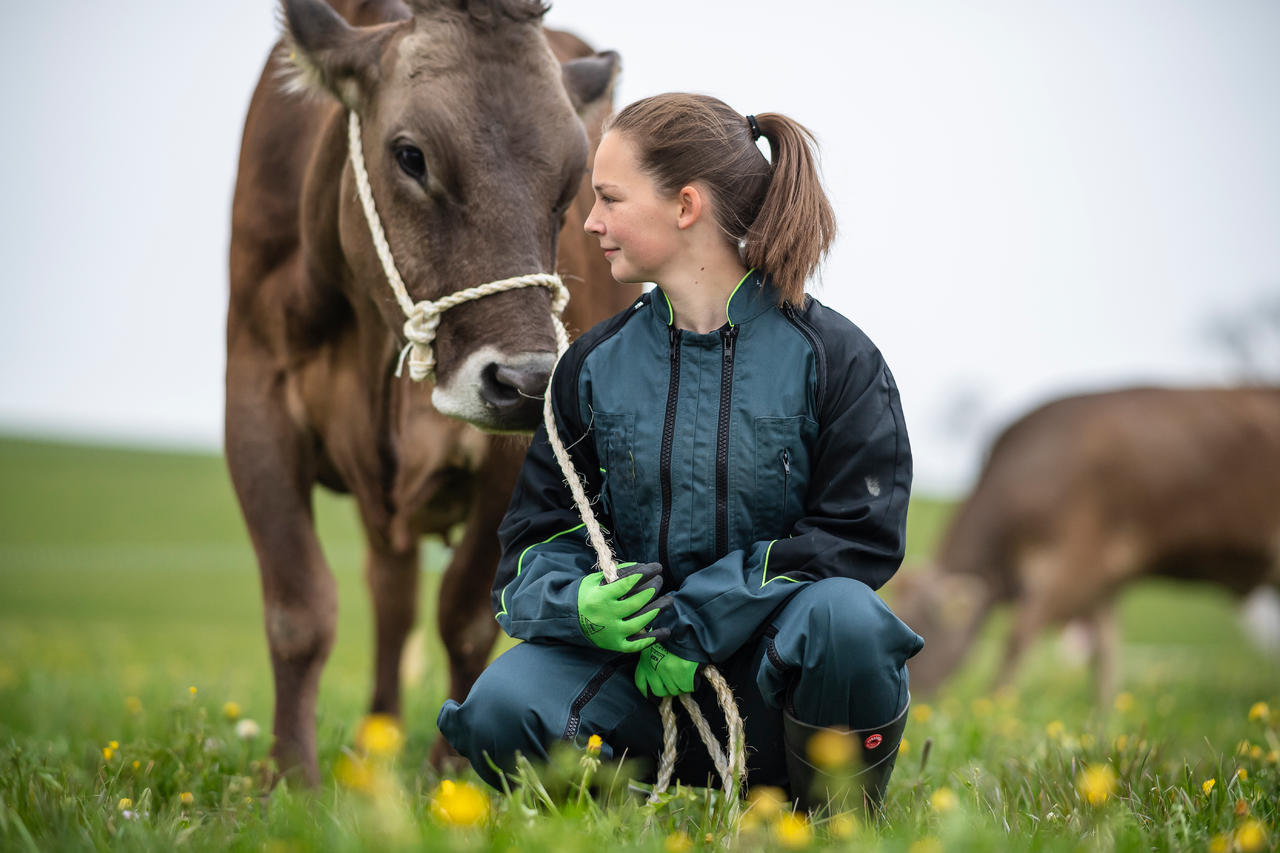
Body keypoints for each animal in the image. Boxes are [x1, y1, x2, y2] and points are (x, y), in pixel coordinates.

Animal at [226, 0, 640, 783]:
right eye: (411, 155)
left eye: (574, 181)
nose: (525, 381)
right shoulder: (254, 394)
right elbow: (298, 609)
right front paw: (289, 778)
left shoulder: (518, 449)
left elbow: (468, 614)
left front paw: (452, 771)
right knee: (391, 596)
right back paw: (374, 742)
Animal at [890, 384, 1280, 696]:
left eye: (918, 627)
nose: (914, 696)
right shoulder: (1102, 582)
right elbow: (1106, 658)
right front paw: (1102, 727)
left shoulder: (1078, 560)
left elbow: (1020, 636)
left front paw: (994, 704)